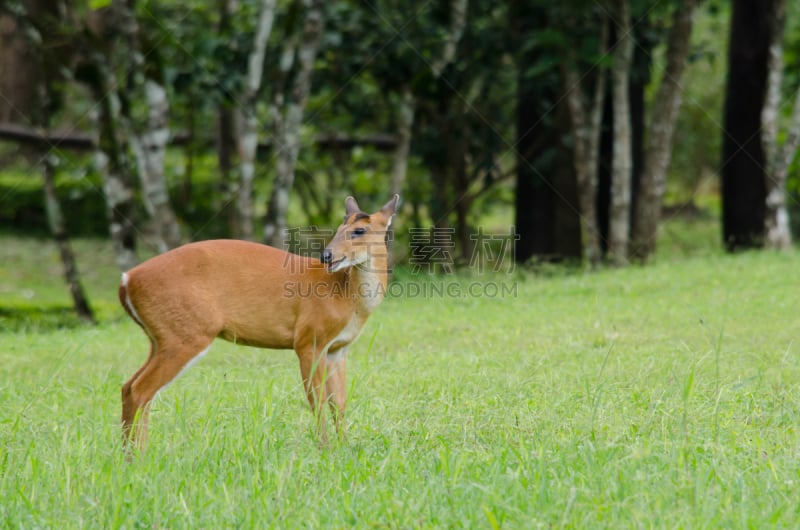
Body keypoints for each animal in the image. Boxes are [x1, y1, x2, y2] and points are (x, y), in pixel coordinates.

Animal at [117, 192, 398, 448]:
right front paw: (326, 448)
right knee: (141, 389)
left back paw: (128, 455)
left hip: (161, 336)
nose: (326, 256)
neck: (346, 297)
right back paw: (140, 457)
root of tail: (127, 280)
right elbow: (316, 400)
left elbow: (338, 402)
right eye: (340, 229)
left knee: (128, 386)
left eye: (359, 230)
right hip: (187, 333)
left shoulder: (338, 349)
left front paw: (344, 446)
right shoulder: (309, 339)